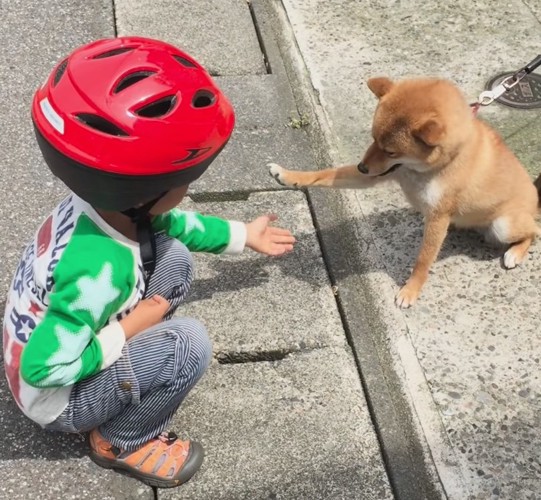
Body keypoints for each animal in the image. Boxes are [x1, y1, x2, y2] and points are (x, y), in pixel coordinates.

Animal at [268, 76, 536, 306]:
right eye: (373, 139)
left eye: (391, 151)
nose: (362, 166)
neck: (430, 169)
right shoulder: (379, 175)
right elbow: (323, 174)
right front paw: (287, 175)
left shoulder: (438, 218)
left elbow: (423, 260)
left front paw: (411, 290)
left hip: (503, 225)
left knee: (535, 231)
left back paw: (515, 253)